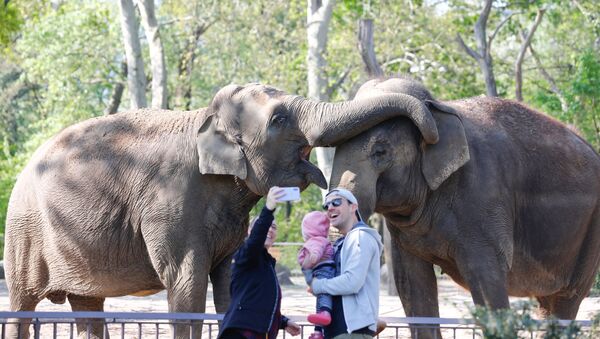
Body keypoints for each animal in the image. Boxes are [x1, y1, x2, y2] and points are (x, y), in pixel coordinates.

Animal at [2, 83, 438, 339]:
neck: (202, 120)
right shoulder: (170, 201)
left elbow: (231, 280)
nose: (431, 128)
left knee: (88, 307)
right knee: (23, 303)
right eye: (279, 118)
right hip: (24, 233)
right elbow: (185, 282)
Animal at [328, 77, 600, 339]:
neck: (439, 110)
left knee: (568, 298)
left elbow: (486, 279)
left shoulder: (483, 197)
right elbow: (412, 280)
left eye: (380, 152)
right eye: (336, 150)